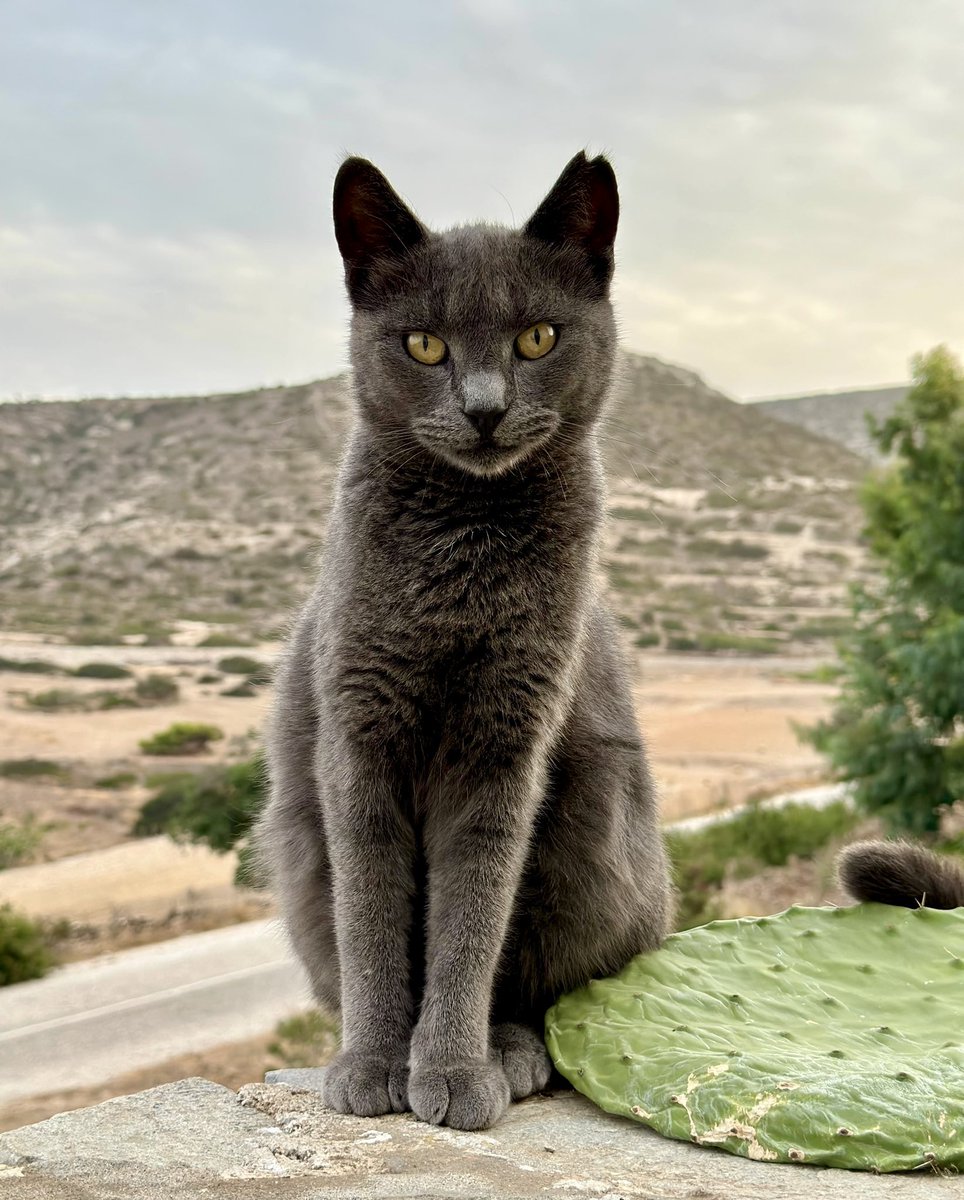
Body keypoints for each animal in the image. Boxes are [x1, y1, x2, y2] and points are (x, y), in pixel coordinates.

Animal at [260, 154, 677, 1128]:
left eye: (537, 338)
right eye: (424, 346)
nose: (485, 409)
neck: (463, 555)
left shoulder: (503, 749)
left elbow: (470, 923)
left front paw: (449, 1067)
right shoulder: (357, 743)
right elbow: (374, 920)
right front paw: (374, 1063)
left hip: (600, 814)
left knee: (538, 988)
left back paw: (510, 1053)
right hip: (296, 844)